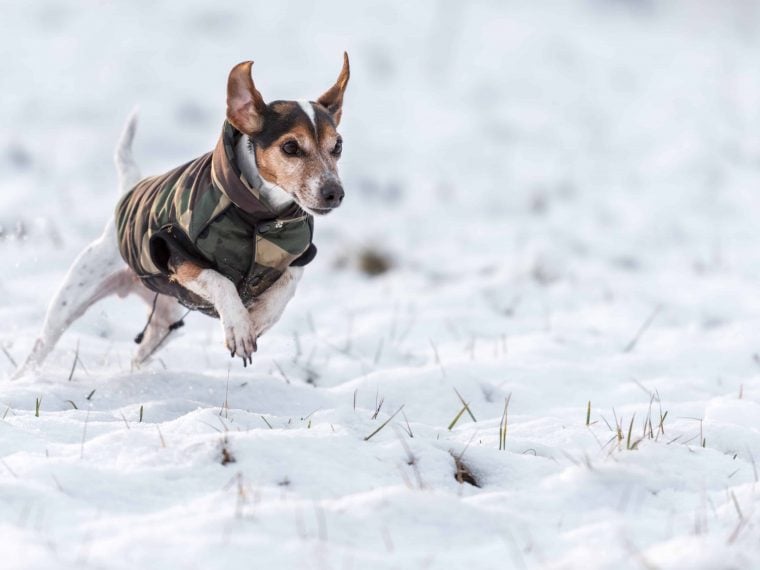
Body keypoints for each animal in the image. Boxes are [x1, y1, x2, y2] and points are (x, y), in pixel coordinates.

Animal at [13, 51, 350, 374]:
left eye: (338, 146)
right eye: (290, 147)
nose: (334, 192)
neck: (261, 217)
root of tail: (129, 189)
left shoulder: (298, 256)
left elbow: (285, 287)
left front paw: (256, 319)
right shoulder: (177, 254)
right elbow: (221, 280)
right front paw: (239, 326)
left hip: (166, 325)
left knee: (144, 348)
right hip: (69, 302)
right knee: (42, 345)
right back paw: (25, 379)